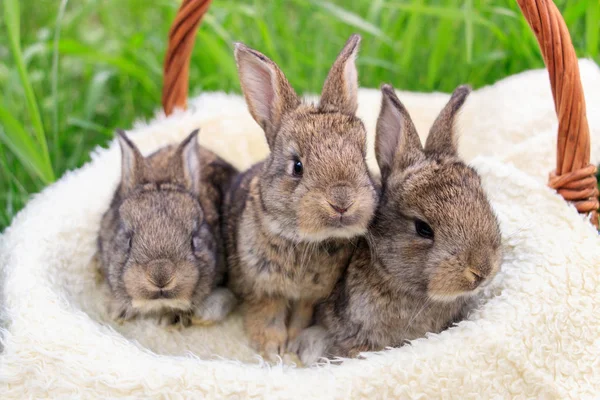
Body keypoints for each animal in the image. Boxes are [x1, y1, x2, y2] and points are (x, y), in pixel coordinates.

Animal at [223, 34, 378, 358]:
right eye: (297, 166)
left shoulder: (311, 297)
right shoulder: (262, 288)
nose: (342, 202)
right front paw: (271, 349)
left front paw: (292, 344)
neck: (305, 240)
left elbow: (300, 318)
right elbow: (267, 316)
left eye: (362, 157)